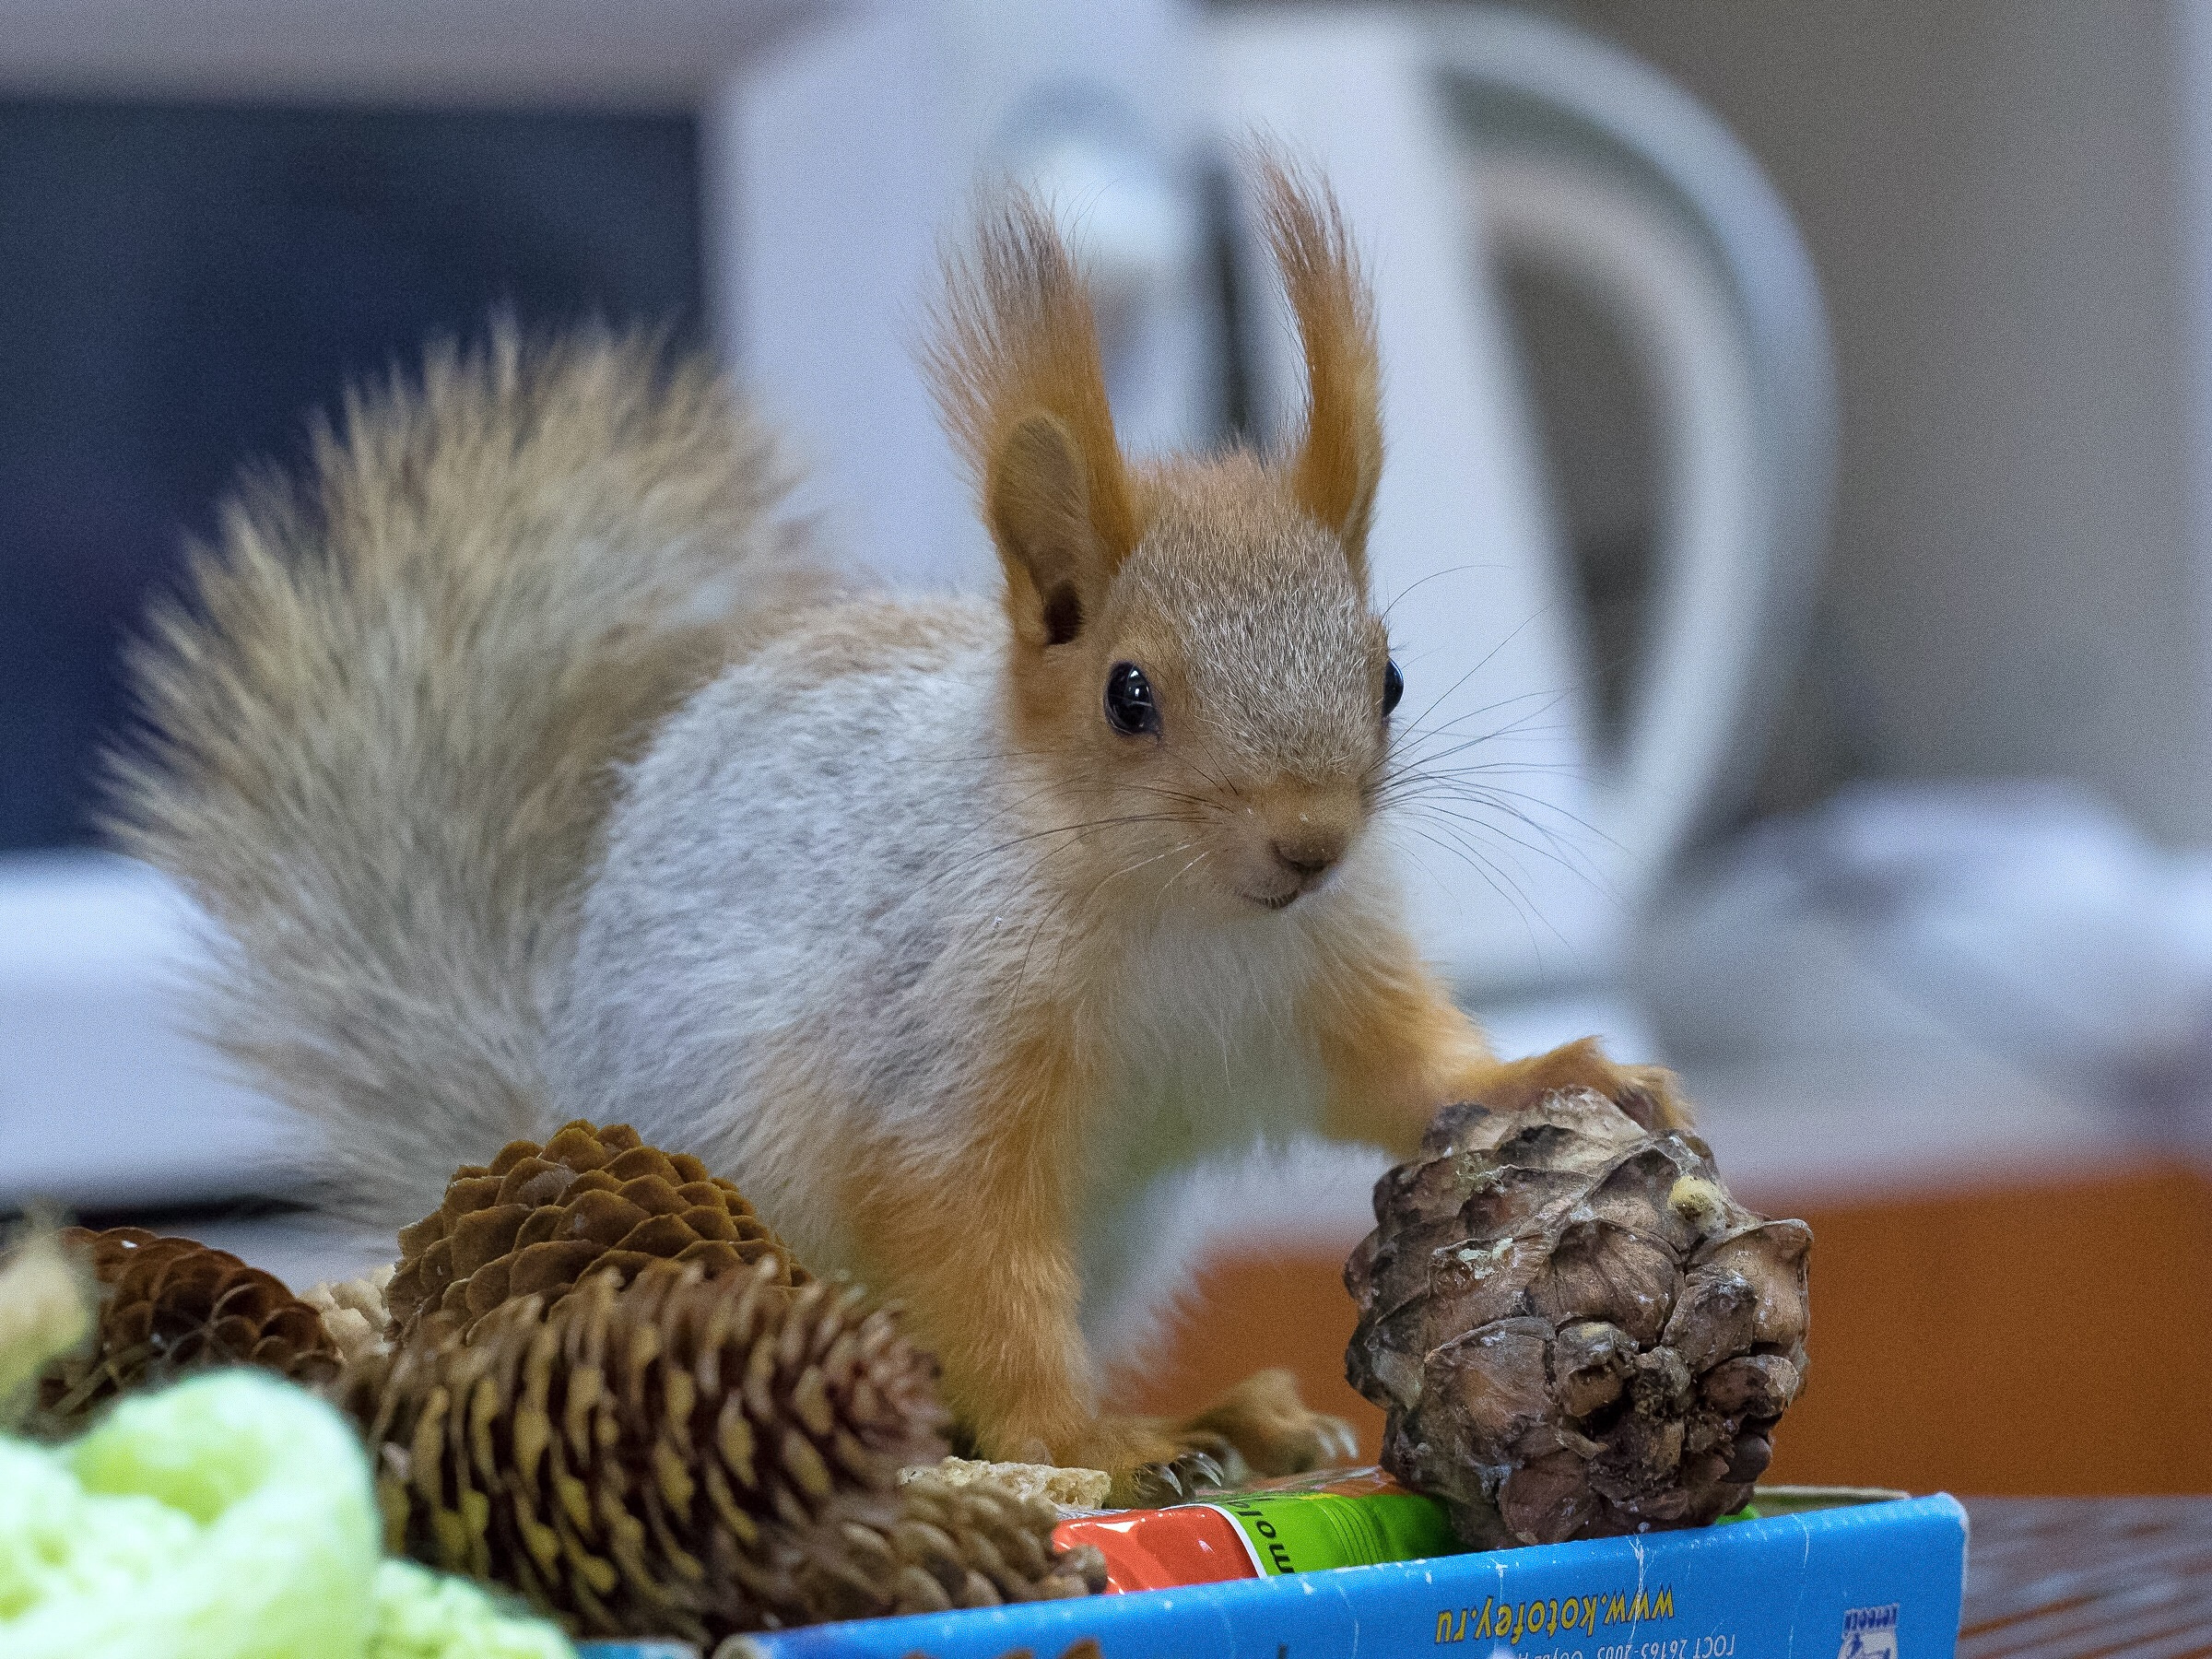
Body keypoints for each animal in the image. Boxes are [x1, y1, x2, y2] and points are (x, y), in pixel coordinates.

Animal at [112, 162, 1672, 1504]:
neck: (1182, 912)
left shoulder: (1329, 975)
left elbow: (1407, 1075)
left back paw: (1239, 1418)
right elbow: (970, 1242)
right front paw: (1084, 1450)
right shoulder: (943, 1042)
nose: (1309, 842)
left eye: (1389, 675)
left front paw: (1564, 1070)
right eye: (1129, 695)